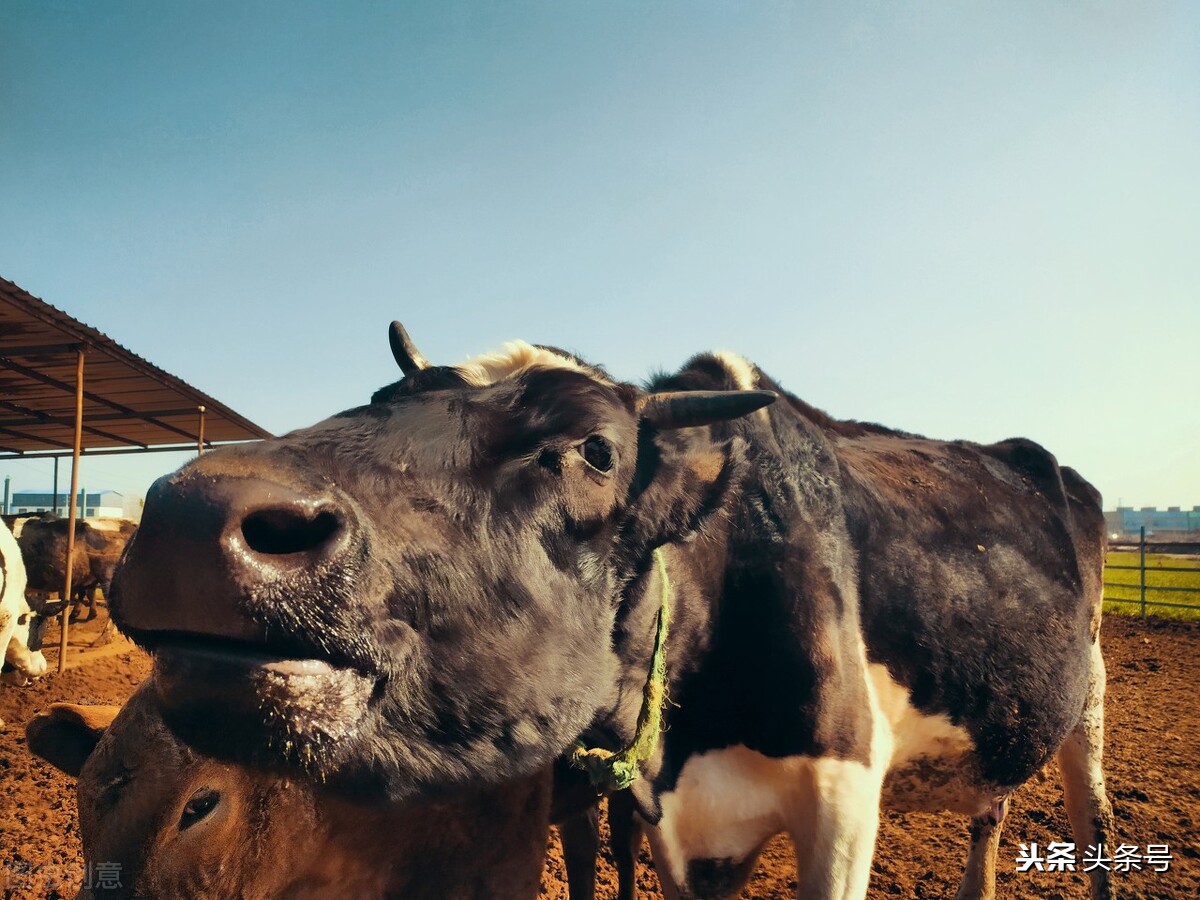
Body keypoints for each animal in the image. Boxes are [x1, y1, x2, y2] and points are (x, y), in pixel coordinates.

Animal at [112, 326, 1113, 900]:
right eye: (378, 400)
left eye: (597, 449)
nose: (188, 517)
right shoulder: (672, 822)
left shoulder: (843, 795)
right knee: (989, 811)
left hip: (1092, 698)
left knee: (1093, 822)